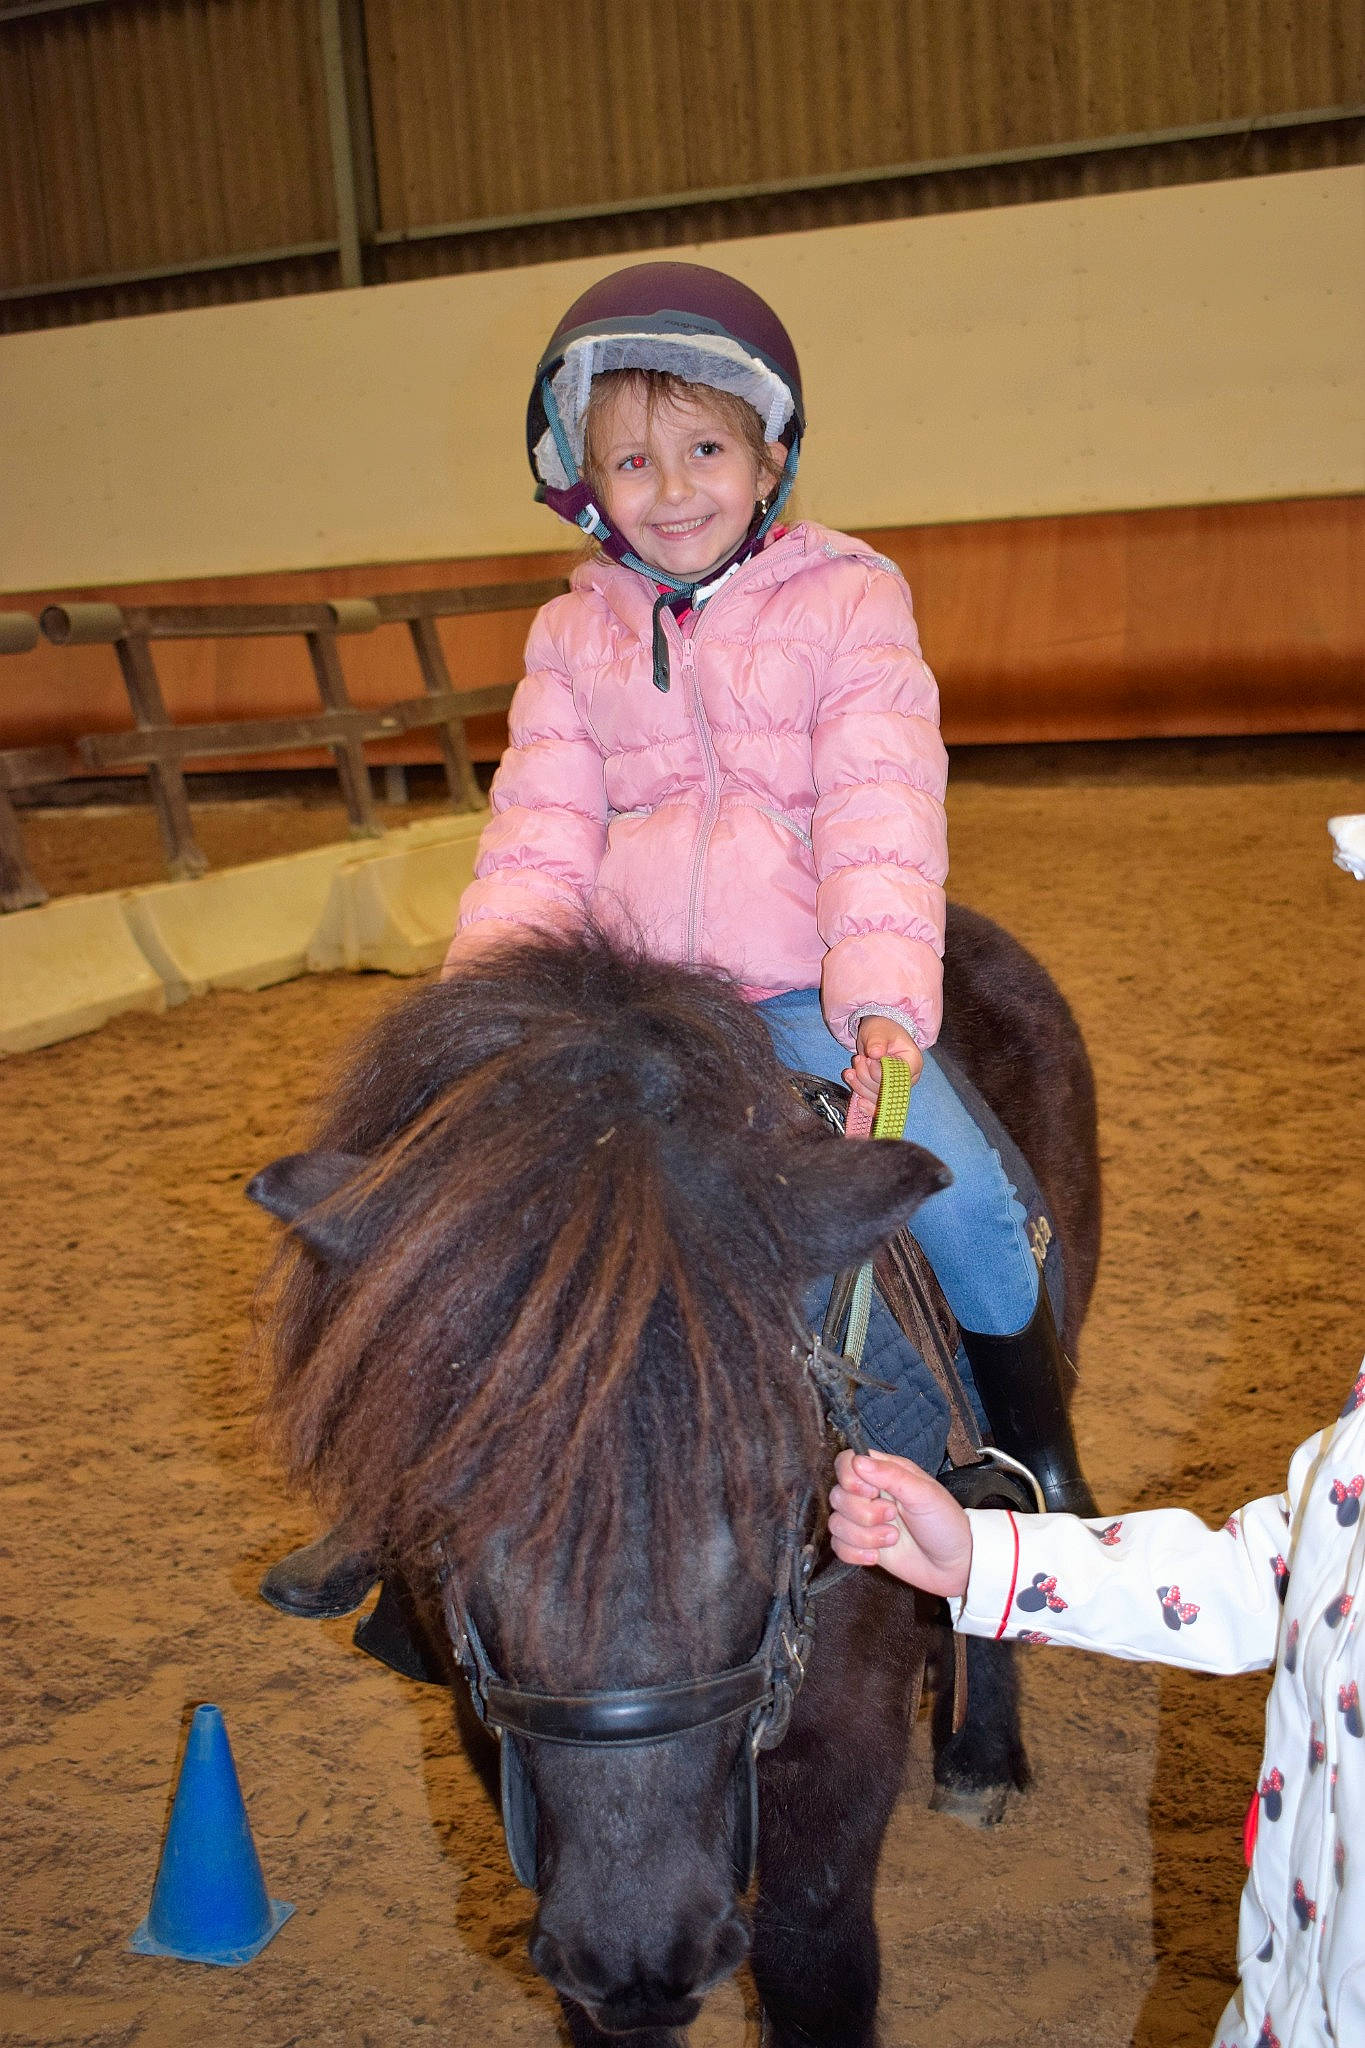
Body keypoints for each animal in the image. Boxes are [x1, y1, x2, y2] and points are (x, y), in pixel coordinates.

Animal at [249, 907, 1099, 2046]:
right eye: (447, 1505)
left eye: (776, 1487)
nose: (645, 1950)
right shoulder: (502, 1749)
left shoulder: (837, 1761)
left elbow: (812, 1964)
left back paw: (982, 1757)